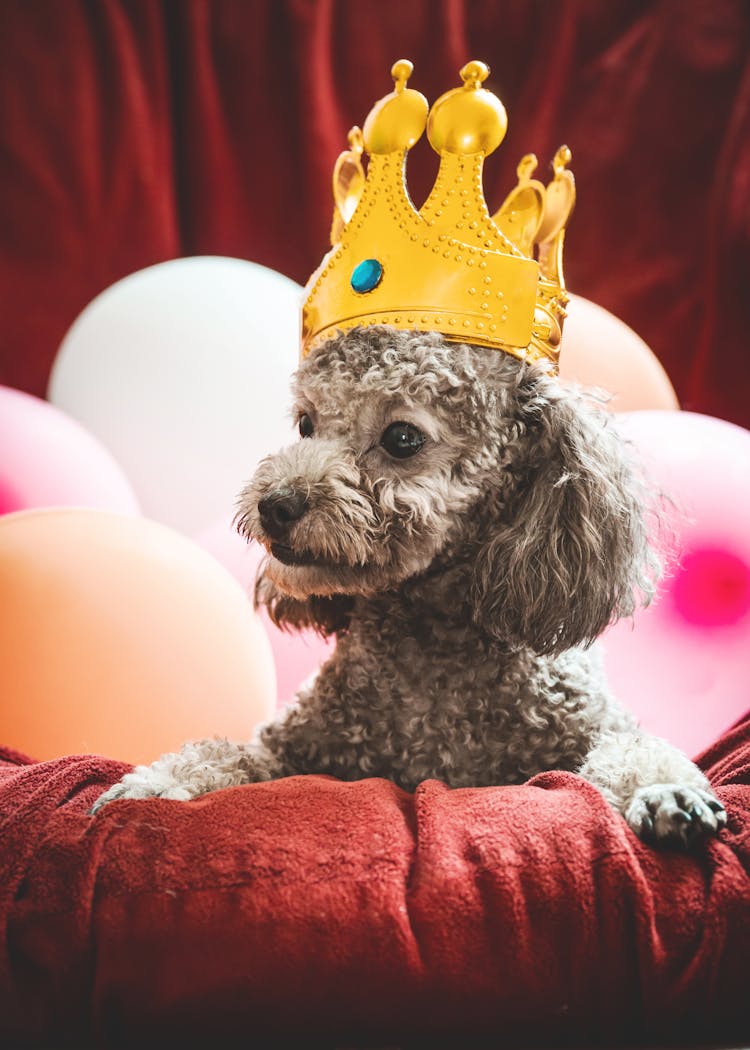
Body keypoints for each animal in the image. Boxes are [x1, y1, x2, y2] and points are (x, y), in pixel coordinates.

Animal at [91, 323, 722, 848]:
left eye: (401, 438)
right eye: (305, 424)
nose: (275, 505)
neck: (432, 641)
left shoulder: (592, 728)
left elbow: (635, 748)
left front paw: (664, 791)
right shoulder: (290, 748)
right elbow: (227, 754)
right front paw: (158, 782)